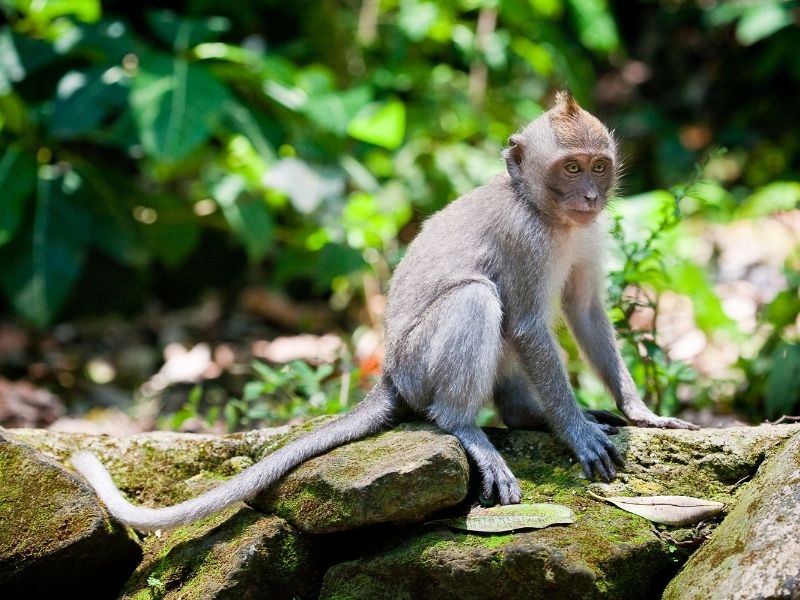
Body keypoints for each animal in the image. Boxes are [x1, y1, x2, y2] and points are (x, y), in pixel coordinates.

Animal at [72, 89, 696, 528]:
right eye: (569, 168)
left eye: (597, 166)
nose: (590, 196)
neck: (544, 209)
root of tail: (392, 373)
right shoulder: (526, 238)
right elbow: (524, 323)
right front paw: (575, 430)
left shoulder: (587, 233)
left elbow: (585, 308)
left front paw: (639, 411)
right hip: (421, 365)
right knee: (477, 299)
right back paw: (466, 426)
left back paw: (524, 414)